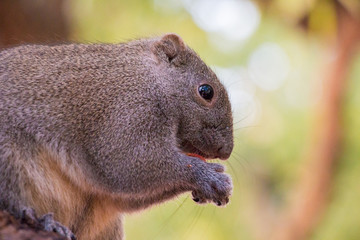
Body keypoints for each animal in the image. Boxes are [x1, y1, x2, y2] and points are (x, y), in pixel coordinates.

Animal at [0, 32, 233, 239]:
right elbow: (126, 164)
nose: (226, 151)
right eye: (206, 91)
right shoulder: (126, 110)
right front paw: (208, 176)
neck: (151, 78)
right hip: (9, 161)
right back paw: (43, 221)